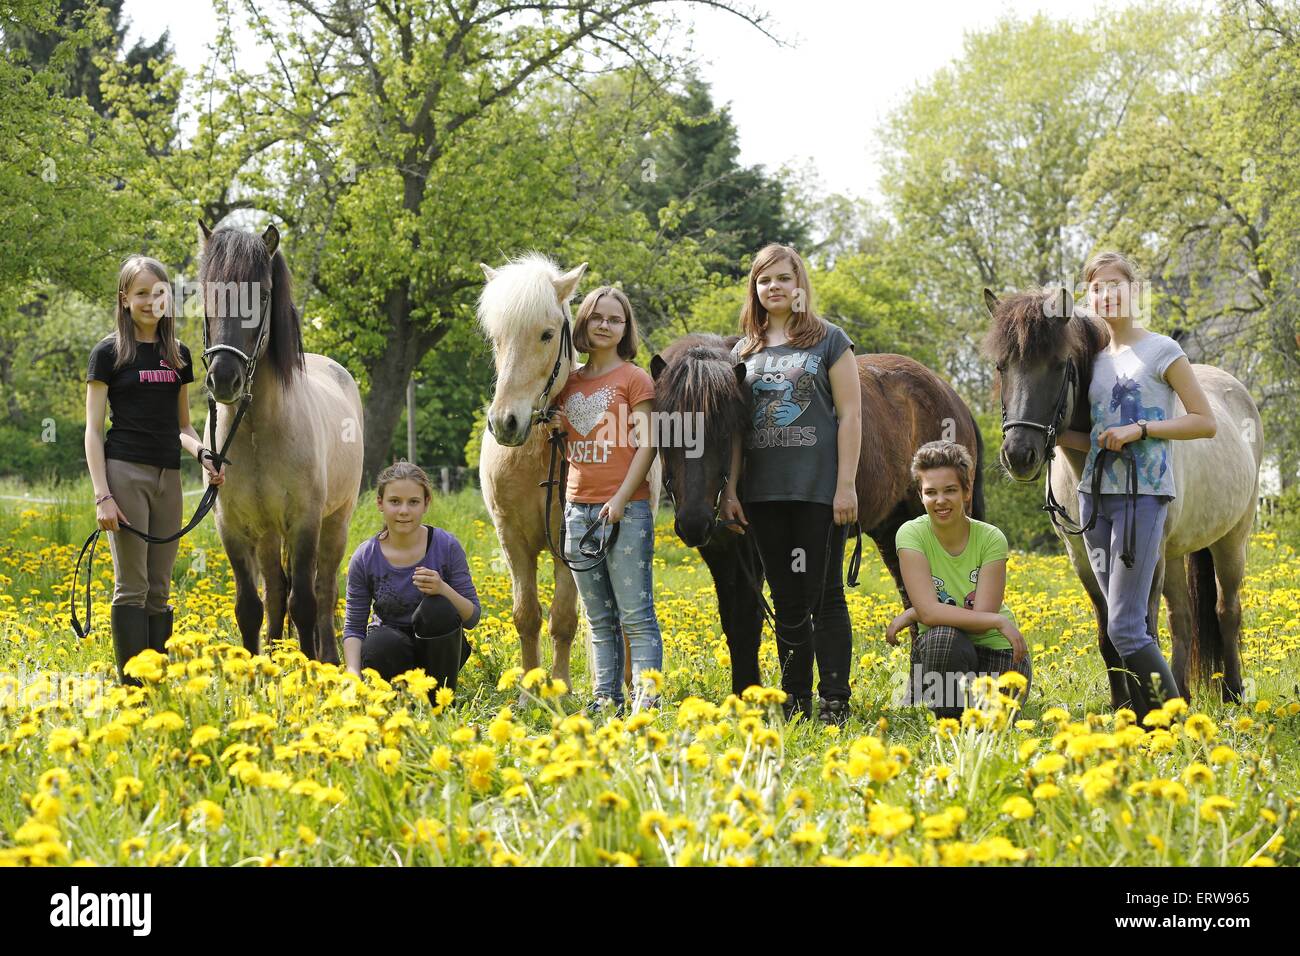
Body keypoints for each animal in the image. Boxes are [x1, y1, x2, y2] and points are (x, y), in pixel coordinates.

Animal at [197, 222, 364, 665]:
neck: (256, 429)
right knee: (274, 592)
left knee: (324, 590)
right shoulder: (232, 527)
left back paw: (329, 658)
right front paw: (255, 668)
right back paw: (273, 652)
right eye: (206, 293)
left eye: (262, 296)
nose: (224, 378)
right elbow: (250, 606)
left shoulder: (304, 522)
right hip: (268, 534)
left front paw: (310, 668)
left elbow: (304, 602)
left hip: (334, 523)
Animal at [982, 287, 1258, 707]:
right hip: (1174, 555)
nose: (1018, 454)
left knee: (1227, 610)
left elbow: (1142, 627)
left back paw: (1232, 692)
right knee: (1183, 619)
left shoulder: (1145, 555)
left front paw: (1147, 705)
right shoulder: (1083, 558)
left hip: (1230, 542)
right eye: (1002, 366)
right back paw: (1182, 694)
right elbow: (1107, 632)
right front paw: (1122, 704)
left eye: (1059, 365)